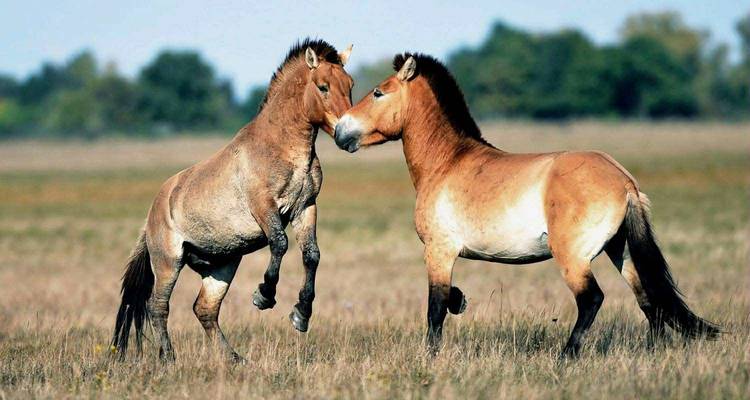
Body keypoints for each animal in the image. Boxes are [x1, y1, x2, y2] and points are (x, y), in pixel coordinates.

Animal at [111, 39, 354, 363]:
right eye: (323, 86)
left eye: (350, 85)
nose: (346, 135)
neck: (282, 148)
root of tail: (152, 214)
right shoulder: (264, 207)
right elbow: (280, 244)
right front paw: (264, 295)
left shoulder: (305, 208)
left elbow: (311, 255)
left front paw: (301, 314)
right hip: (168, 263)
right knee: (158, 307)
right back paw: (169, 358)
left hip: (221, 266)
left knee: (204, 309)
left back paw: (235, 358)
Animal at [333, 53, 719, 357]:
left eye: (378, 92)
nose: (340, 130)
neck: (447, 163)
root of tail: (624, 182)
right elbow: (447, 302)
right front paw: (461, 303)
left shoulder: (439, 251)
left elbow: (436, 308)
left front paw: (431, 356)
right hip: (619, 250)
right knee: (649, 300)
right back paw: (651, 352)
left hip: (573, 257)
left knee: (592, 299)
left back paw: (566, 357)